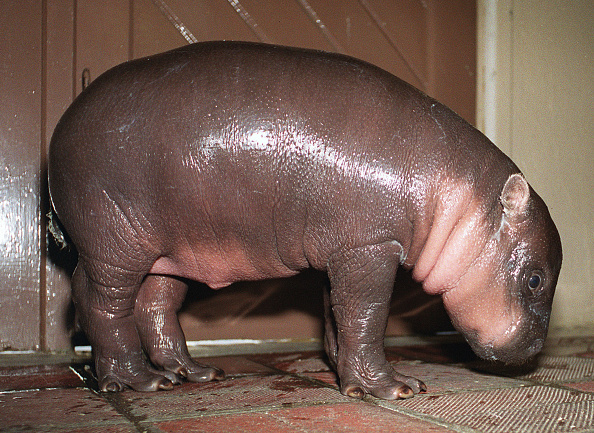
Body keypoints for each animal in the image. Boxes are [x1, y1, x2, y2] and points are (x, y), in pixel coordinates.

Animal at [47, 40, 560, 398]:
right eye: (535, 279)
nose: (535, 352)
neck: (458, 192)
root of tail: (63, 123)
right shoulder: (370, 247)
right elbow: (367, 315)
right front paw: (396, 388)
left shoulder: (343, 252)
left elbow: (338, 317)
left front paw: (345, 377)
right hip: (115, 241)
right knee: (101, 303)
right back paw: (137, 382)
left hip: (166, 252)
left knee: (154, 304)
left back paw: (193, 373)